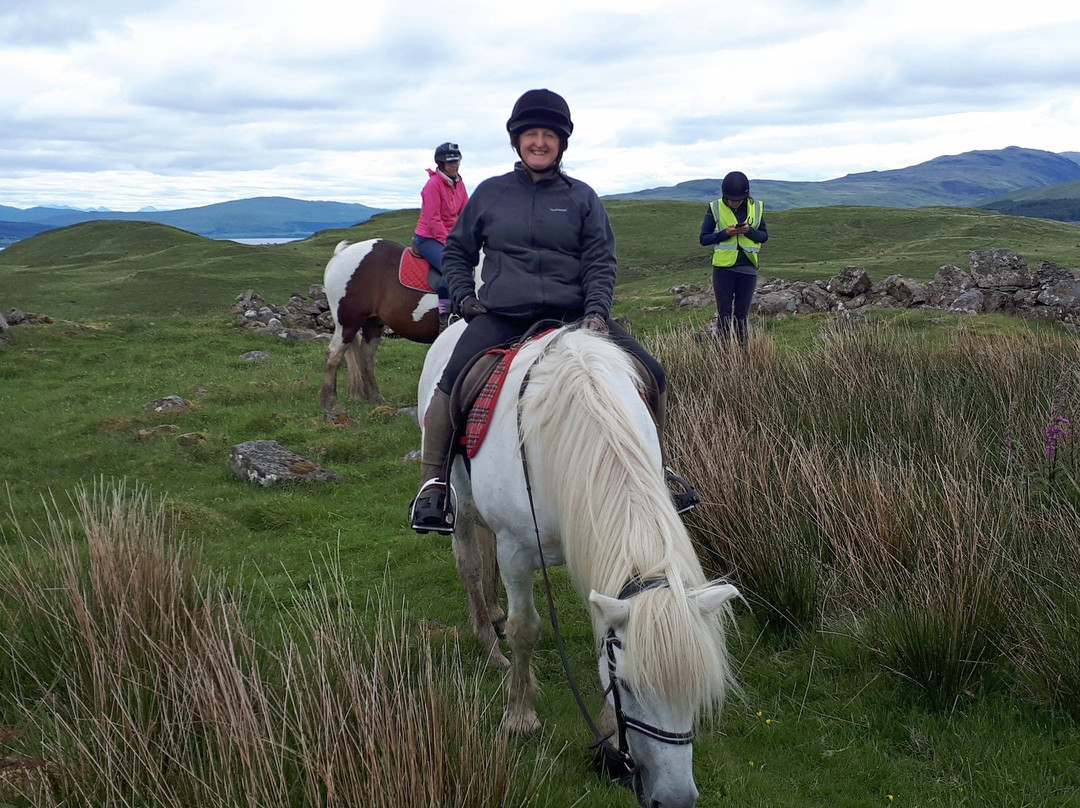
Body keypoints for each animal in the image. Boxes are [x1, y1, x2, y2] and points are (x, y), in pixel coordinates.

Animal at [319, 236, 438, 406]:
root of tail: (340, 254)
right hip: (348, 324)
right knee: (333, 355)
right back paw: (329, 400)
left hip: (372, 324)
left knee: (366, 358)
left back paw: (376, 398)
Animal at [416, 324, 738, 808]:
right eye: (629, 686)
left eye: (696, 689)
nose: (675, 799)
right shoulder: (515, 550)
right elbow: (525, 629)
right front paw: (520, 716)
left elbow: (598, 630)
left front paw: (609, 736)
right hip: (462, 507)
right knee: (470, 565)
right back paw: (490, 645)